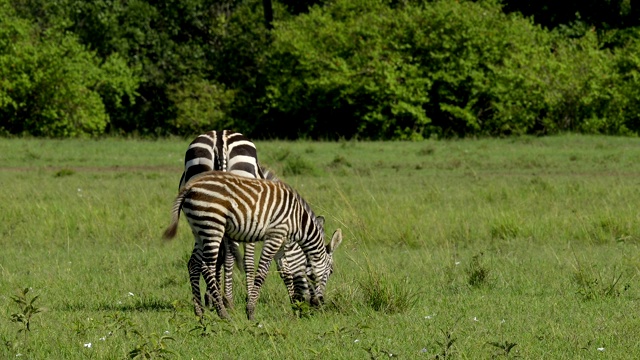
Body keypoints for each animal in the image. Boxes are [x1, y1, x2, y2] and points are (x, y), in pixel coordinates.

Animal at [165, 172, 344, 320]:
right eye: (331, 272)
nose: (319, 304)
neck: (299, 221)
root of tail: (189, 187)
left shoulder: (281, 242)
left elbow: (286, 273)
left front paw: (295, 307)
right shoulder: (275, 236)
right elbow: (262, 273)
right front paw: (250, 311)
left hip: (199, 230)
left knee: (194, 264)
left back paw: (199, 312)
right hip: (213, 226)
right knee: (208, 266)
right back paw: (223, 313)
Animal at [178, 130, 312, 316]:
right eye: (308, 267)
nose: (313, 304)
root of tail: (220, 138)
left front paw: (211, 297)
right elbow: (248, 261)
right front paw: (246, 298)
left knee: (215, 255)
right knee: (230, 255)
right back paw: (228, 301)